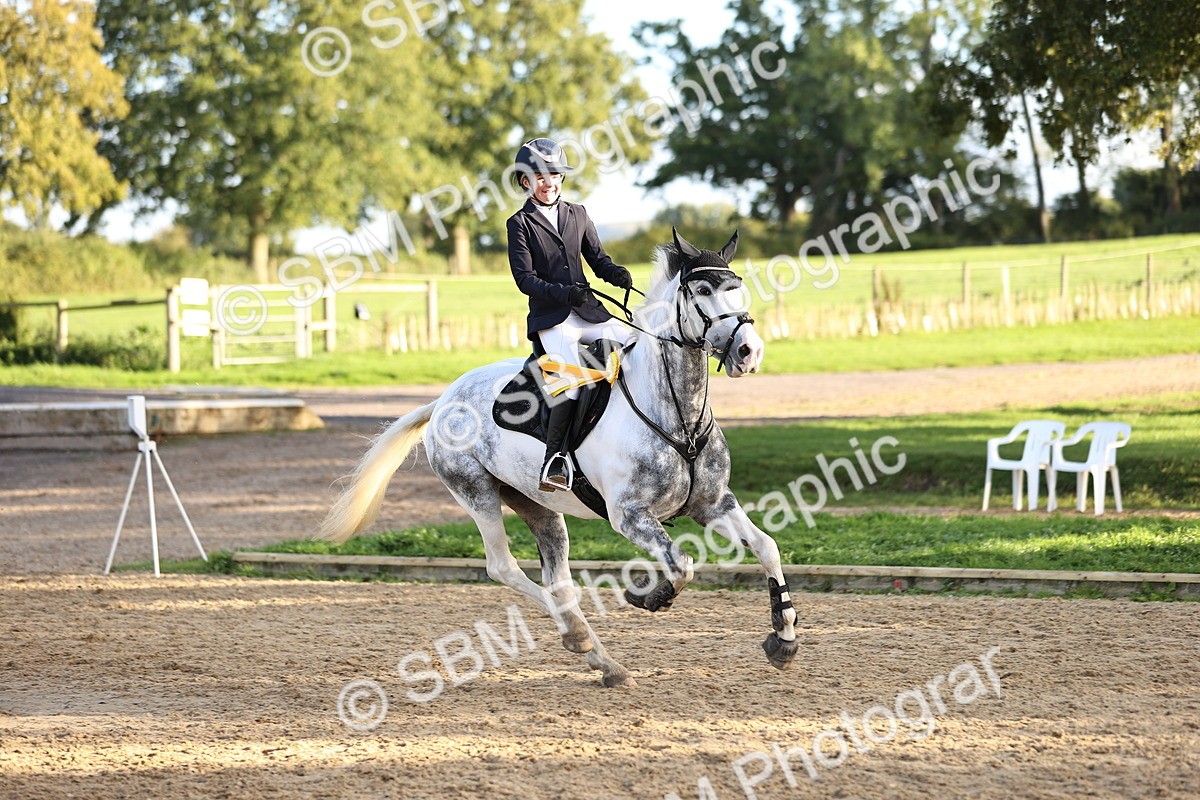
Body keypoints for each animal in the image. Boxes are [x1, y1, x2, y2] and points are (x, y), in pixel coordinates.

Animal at [318, 228, 799, 687]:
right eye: (702, 291)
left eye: (738, 288)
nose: (749, 351)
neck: (677, 412)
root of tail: (442, 400)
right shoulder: (630, 516)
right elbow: (681, 565)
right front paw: (650, 596)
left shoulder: (714, 504)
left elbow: (767, 547)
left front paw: (784, 638)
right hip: (476, 492)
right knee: (504, 567)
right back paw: (578, 635)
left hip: (538, 505)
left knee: (559, 579)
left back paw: (602, 660)